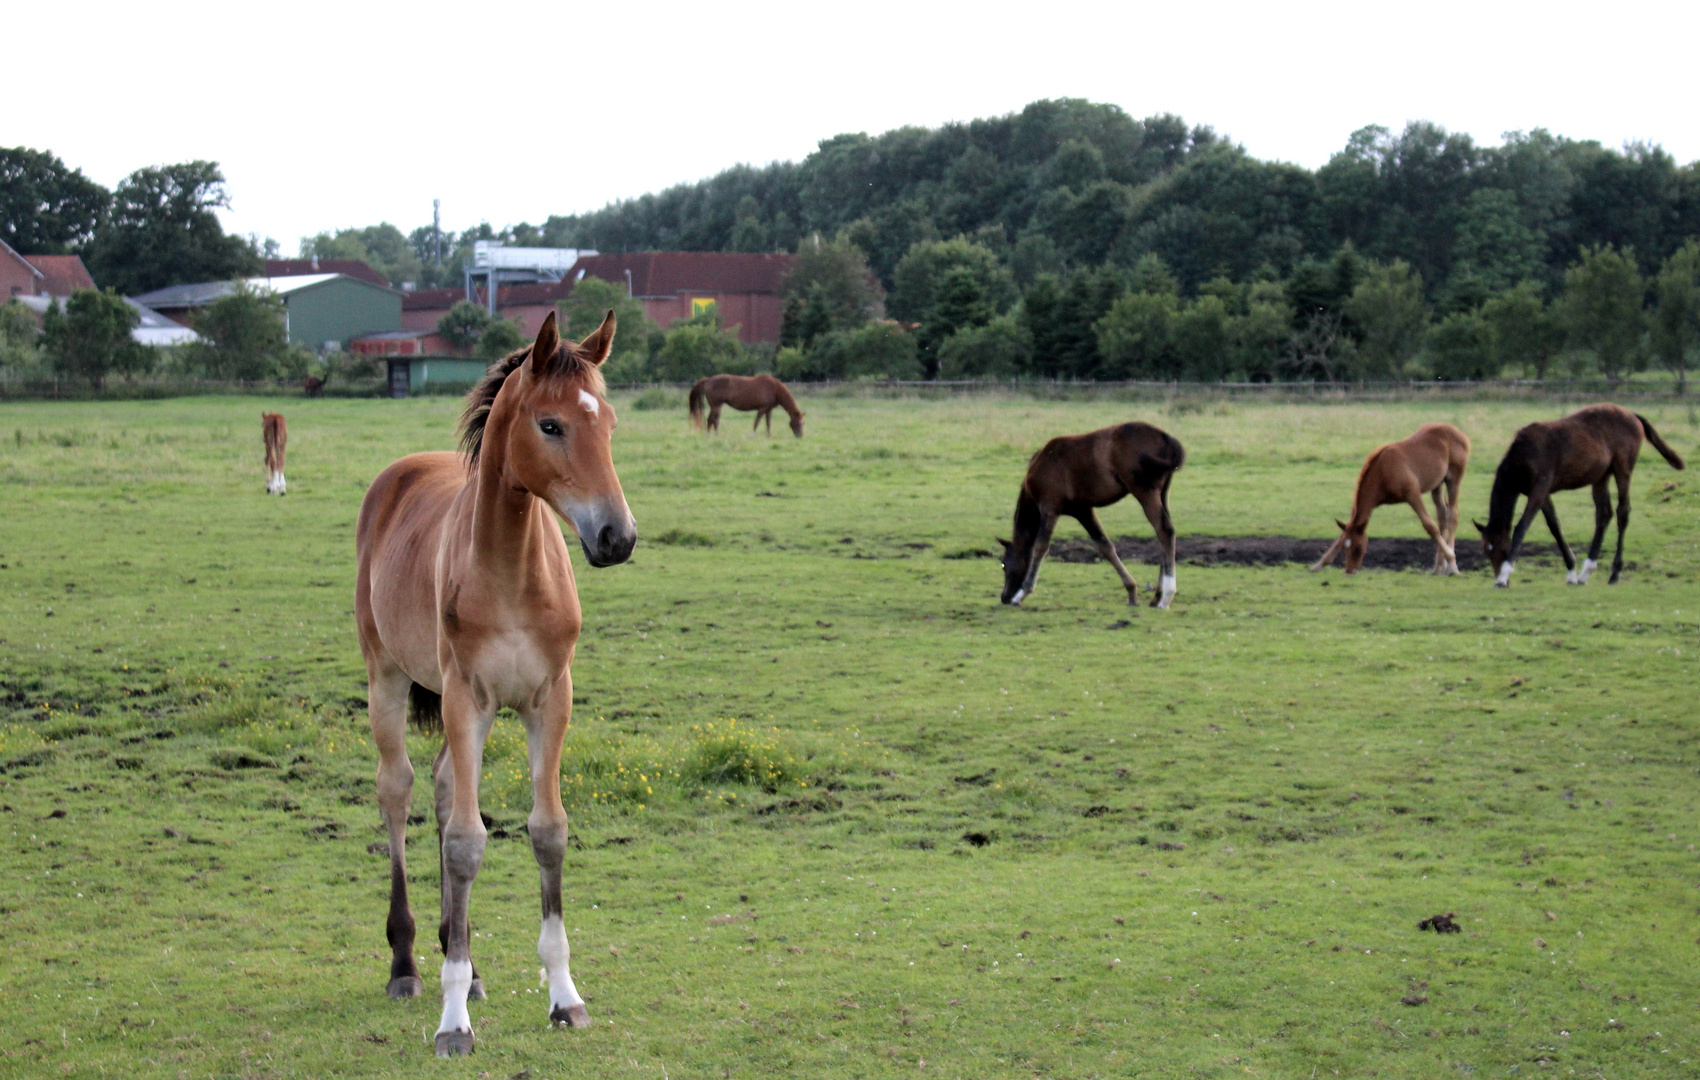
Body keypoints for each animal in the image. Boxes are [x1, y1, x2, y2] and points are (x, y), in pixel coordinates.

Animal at [351, 312, 639, 1054]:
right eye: (550, 424)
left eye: (609, 423)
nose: (617, 536)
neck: (510, 573)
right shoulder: (464, 699)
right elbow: (463, 842)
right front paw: (453, 1019)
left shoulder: (551, 700)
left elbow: (547, 831)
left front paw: (565, 997)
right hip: (386, 676)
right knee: (399, 790)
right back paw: (408, 963)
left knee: (445, 787)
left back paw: (467, 959)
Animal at [992, 420, 1183, 608]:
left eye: (1003, 564)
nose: (1004, 596)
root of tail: (1165, 438)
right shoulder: (1083, 510)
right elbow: (1105, 546)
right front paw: (1131, 592)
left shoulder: (1049, 508)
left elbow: (1041, 547)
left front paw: (1022, 594)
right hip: (1162, 493)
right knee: (1165, 533)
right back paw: (1157, 596)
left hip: (1145, 492)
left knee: (1164, 530)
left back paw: (1166, 597)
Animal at [1475, 401, 1686, 588]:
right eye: (1486, 551)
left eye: (1503, 549)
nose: (1497, 576)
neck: (1523, 454)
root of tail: (1632, 415)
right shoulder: (1543, 494)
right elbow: (1554, 526)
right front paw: (1571, 573)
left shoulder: (1539, 489)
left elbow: (1521, 527)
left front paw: (1504, 576)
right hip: (1601, 476)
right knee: (1604, 513)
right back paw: (1586, 573)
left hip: (1623, 470)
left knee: (1622, 512)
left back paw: (1615, 574)